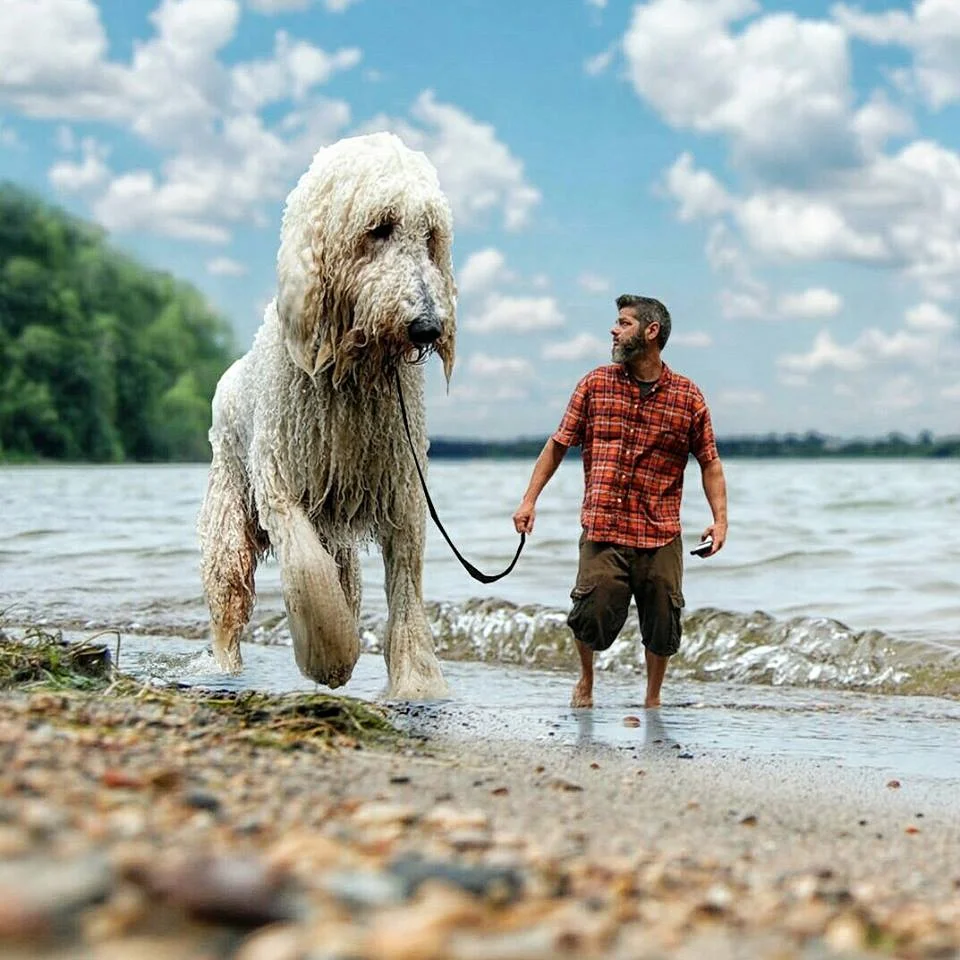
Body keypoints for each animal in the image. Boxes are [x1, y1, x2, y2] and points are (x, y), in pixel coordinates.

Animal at [197, 133, 456, 696]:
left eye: (430, 235)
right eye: (379, 227)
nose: (428, 326)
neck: (351, 371)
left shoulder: (402, 486)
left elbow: (406, 588)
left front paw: (417, 685)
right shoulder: (281, 484)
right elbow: (308, 578)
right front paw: (331, 659)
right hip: (230, 507)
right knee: (228, 595)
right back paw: (224, 669)